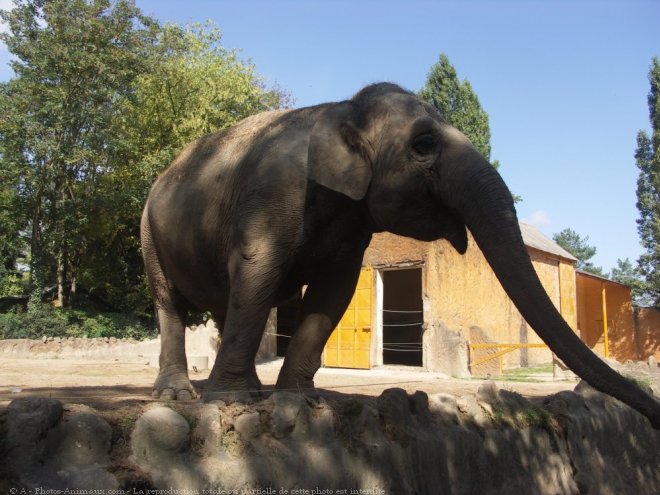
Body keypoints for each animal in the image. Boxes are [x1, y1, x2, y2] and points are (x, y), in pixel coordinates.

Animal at [141, 83, 660, 428]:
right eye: (424, 145)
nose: (651, 415)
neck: (341, 108)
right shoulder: (271, 195)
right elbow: (258, 270)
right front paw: (227, 403)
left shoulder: (352, 229)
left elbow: (334, 291)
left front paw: (300, 399)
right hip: (149, 231)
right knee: (171, 304)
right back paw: (183, 392)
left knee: (224, 303)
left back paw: (245, 385)